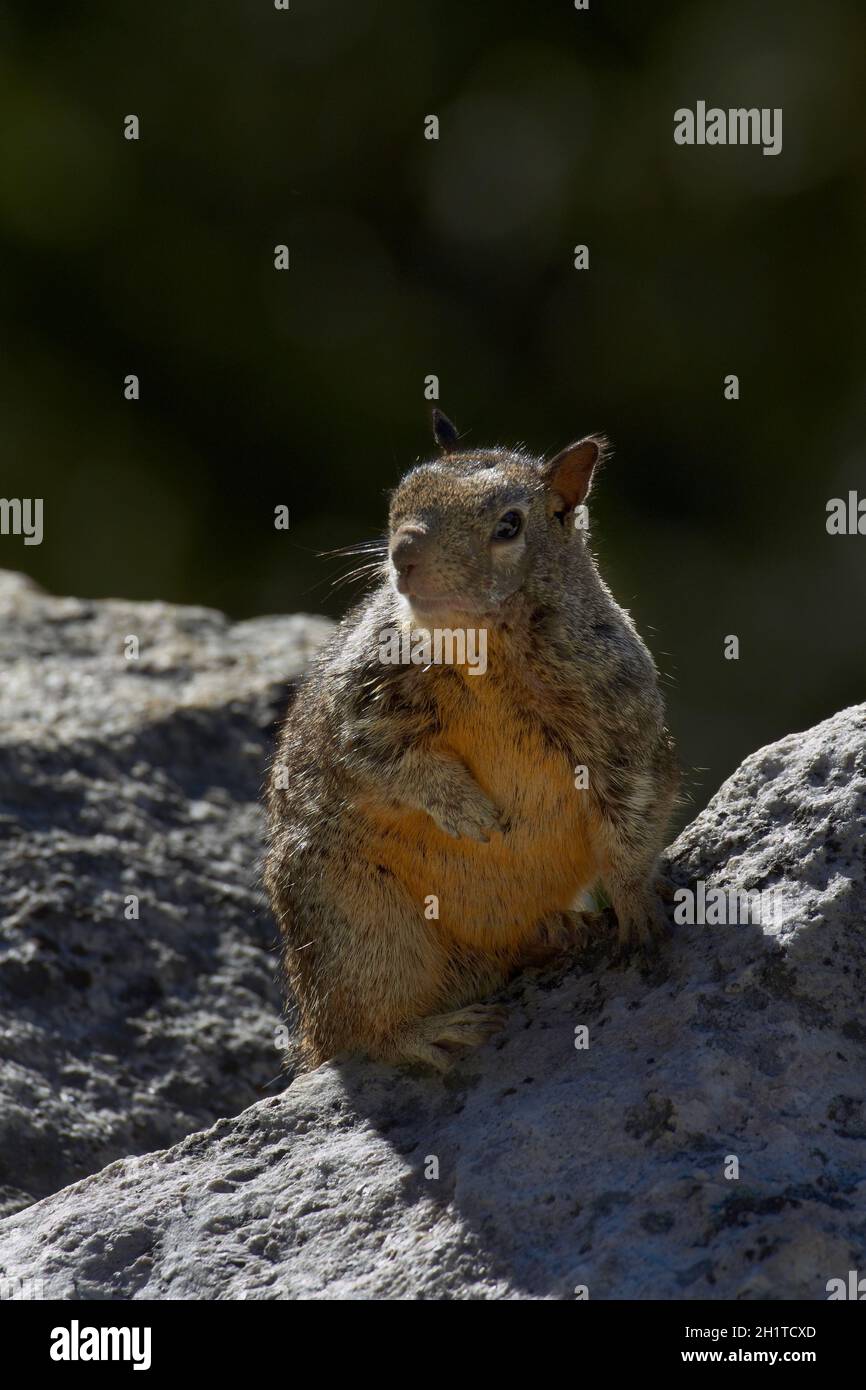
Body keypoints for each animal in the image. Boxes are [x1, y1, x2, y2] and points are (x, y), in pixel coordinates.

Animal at [264, 411, 678, 1073]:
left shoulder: (623, 726)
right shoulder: (358, 708)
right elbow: (381, 759)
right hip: (361, 925)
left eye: (509, 525)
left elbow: (631, 822)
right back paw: (434, 1031)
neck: (479, 645)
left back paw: (562, 930)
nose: (403, 553)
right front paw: (469, 810)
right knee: (363, 1032)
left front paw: (637, 908)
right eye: (399, 500)